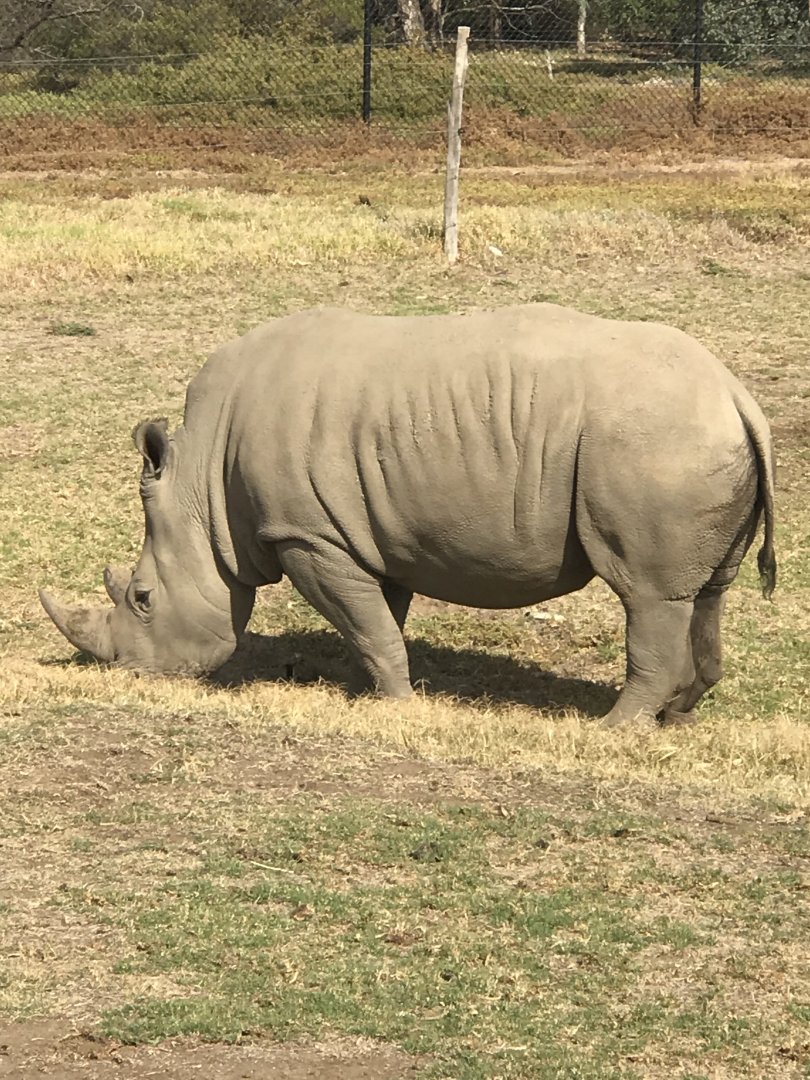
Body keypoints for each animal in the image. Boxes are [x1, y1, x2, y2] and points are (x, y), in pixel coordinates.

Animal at [40, 304, 776, 727]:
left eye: (141, 598)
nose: (130, 675)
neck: (202, 485)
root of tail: (737, 396)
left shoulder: (308, 534)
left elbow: (366, 621)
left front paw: (395, 704)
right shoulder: (356, 530)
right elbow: (376, 620)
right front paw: (361, 692)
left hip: (654, 445)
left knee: (646, 594)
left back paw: (610, 730)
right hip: (693, 444)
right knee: (707, 591)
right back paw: (676, 718)